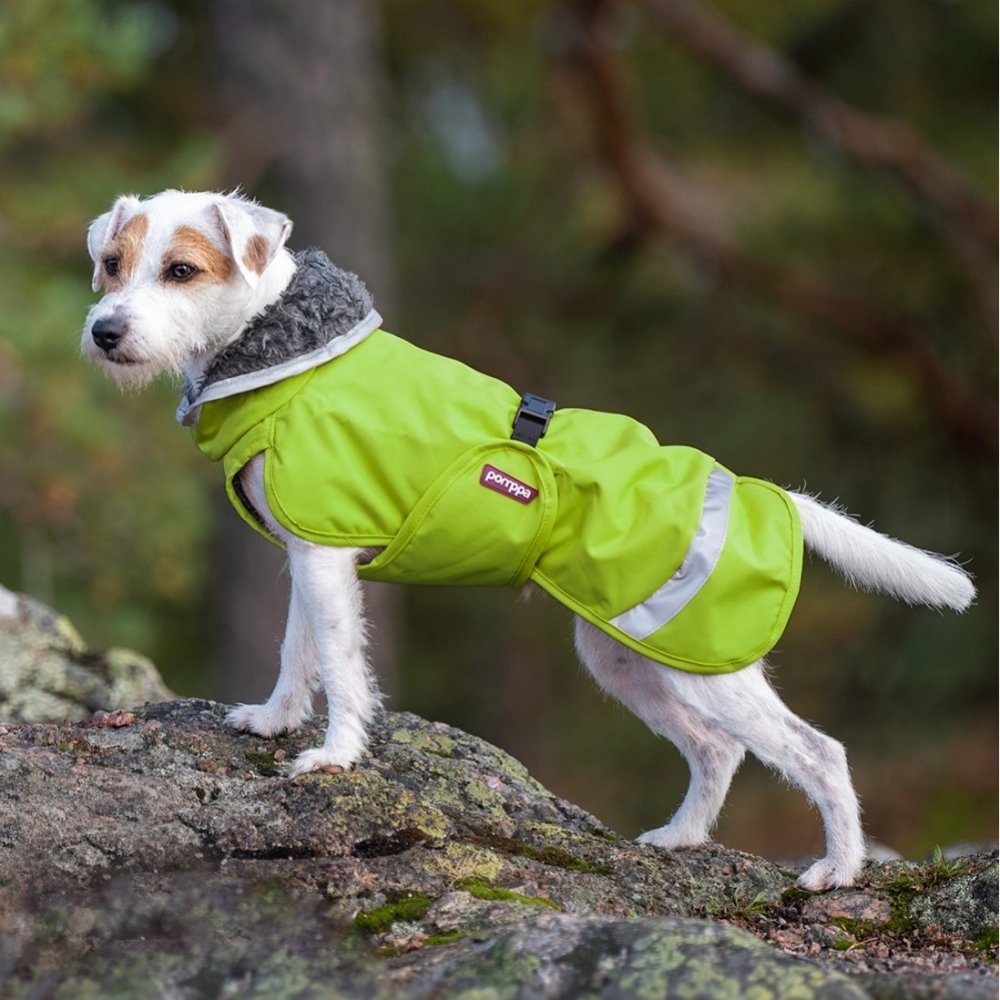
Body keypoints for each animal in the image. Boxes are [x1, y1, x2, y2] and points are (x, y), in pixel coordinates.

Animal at [82, 191, 972, 896]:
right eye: (113, 264)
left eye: (182, 271)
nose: (103, 331)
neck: (283, 351)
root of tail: (760, 492)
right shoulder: (307, 547)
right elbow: (296, 648)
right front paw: (273, 720)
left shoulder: (325, 554)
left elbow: (338, 661)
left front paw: (335, 755)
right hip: (627, 656)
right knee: (717, 750)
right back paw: (681, 838)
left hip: (708, 663)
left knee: (819, 752)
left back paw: (837, 871)